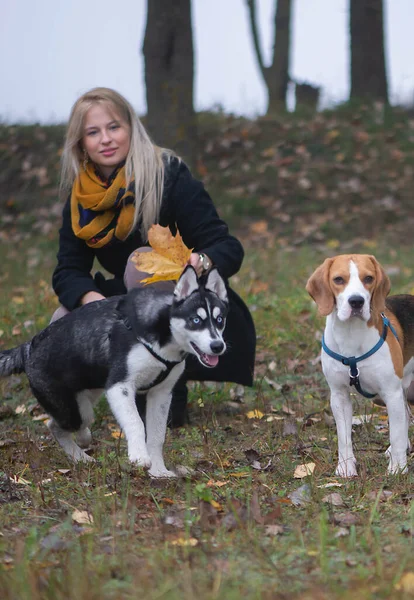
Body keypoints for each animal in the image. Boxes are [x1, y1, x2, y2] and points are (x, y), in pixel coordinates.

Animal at [0, 268, 230, 478]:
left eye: (220, 320)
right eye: (196, 320)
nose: (218, 346)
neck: (163, 335)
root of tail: (29, 347)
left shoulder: (162, 394)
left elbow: (157, 435)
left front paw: (158, 470)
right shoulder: (120, 386)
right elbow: (136, 423)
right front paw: (139, 456)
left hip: (87, 398)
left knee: (58, 424)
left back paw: (81, 456)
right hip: (70, 408)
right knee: (61, 425)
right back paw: (82, 447)